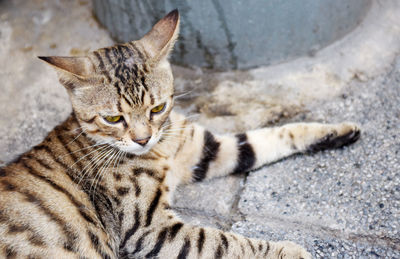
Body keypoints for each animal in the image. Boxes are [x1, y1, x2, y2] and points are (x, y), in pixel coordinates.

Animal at [0, 9, 360, 258]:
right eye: (113, 118)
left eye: (158, 108)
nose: (142, 139)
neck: (162, 150)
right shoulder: (148, 228)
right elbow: (221, 241)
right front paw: (288, 250)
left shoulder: (205, 148)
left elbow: (269, 137)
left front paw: (335, 131)